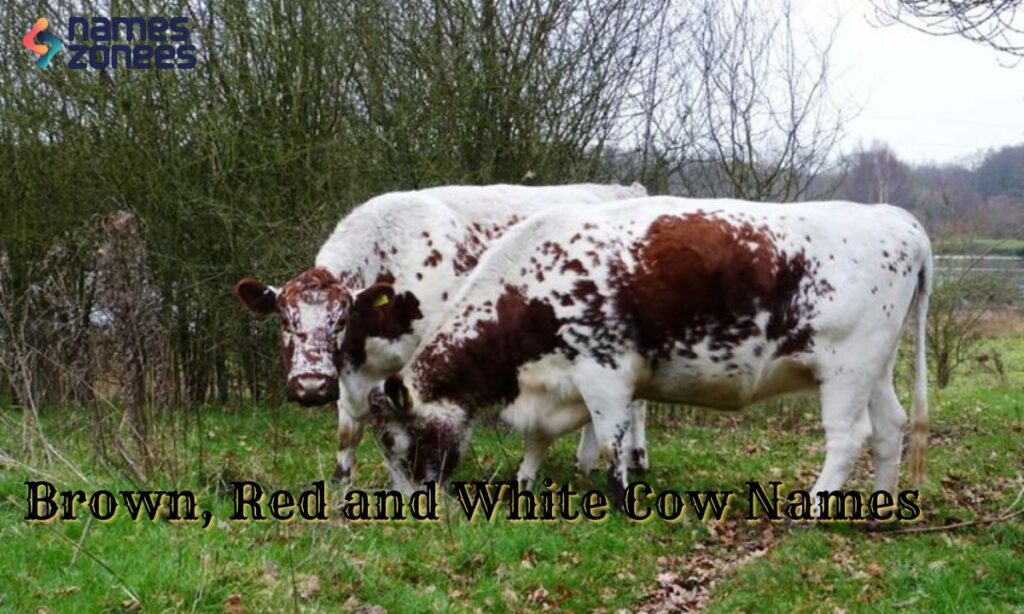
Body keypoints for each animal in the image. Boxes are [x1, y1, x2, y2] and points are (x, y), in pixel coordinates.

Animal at [234, 183, 650, 483]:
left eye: (339, 320)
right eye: (286, 321)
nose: (311, 386)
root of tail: (622, 189)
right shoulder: (350, 373)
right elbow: (348, 432)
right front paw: (341, 482)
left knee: (635, 404)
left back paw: (636, 458)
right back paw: (587, 462)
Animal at [365, 197, 932, 513]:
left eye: (394, 441)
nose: (407, 505)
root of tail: (895, 219)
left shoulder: (604, 373)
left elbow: (612, 442)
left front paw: (618, 500)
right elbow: (536, 439)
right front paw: (524, 482)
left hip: (846, 368)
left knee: (849, 437)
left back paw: (814, 508)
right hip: (876, 369)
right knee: (890, 428)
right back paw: (882, 506)